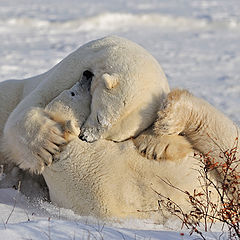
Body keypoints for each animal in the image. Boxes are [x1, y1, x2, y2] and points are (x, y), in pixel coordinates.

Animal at [0, 35, 171, 173]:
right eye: (99, 117)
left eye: (115, 140)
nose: (85, 138)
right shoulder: (79, 63)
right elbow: (35, 101)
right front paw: (46, 144)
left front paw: (155, 146)